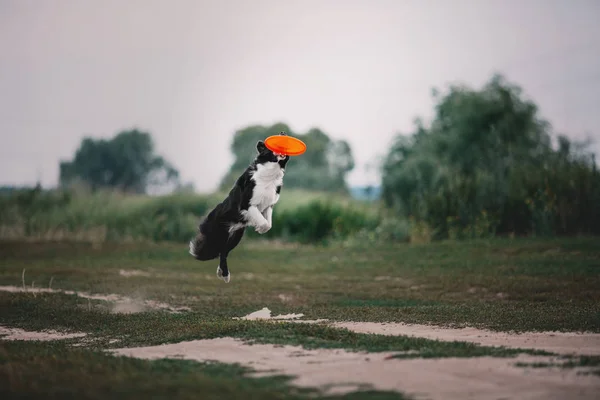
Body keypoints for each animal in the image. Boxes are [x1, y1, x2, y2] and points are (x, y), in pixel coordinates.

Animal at [189, 132, 290, 282]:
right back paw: (224, 274)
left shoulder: (268, 206)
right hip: (219, 235)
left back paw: (223, 274)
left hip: (236, 236)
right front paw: (260, 228)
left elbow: (269, 223)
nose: (283, 133)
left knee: (224, 252)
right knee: (219, 250)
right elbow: (263, 221)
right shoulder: (247, 204)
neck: (271, 172)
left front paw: (261, 228)